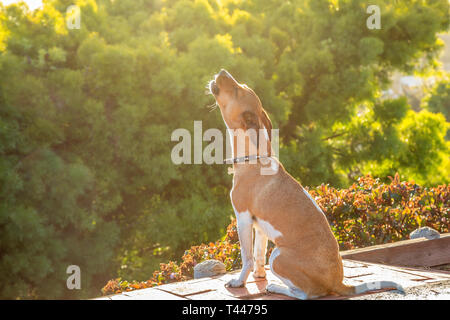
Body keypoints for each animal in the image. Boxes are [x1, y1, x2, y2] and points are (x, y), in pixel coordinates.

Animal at [208, 69, 404, 298]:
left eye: (237, 90)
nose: (222, 71)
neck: (254, 158)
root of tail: (338, 282)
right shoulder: (260, 226)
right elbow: (257, 254)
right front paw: (258, 276)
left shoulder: (243, 219)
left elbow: (246, 257)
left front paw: (239, 281)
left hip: (278, 255)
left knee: (308, 294)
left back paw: (277, 287)